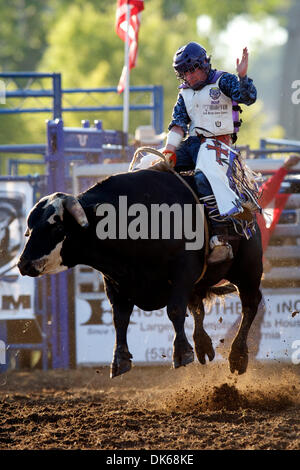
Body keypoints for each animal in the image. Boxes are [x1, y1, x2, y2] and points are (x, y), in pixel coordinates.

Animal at [18, 169, 262, 378]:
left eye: (57, 228)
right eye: (30, 228)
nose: (23, 264)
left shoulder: (183, 270)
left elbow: (174, 310)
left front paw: (182, 353)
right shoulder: (115, 281)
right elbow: (119, 318)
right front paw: (119, 360)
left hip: (247, 270)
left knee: (250, 303)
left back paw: (238, 356)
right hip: (200, 282)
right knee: (197, 306)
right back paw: (202, 345)